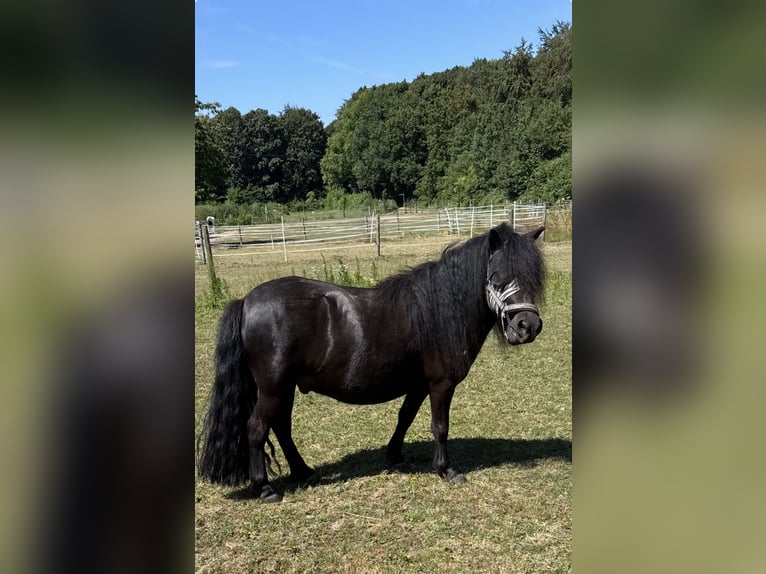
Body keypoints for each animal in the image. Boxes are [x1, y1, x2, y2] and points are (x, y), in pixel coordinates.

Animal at [198, 223, 546, 502]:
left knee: (281, 426)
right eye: (498, 277)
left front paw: (394, 455)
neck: (439, 309)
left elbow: (405, 417)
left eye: (533, 277)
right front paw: (446, 470)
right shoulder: (441, 383)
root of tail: (246, 301)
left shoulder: (418, 384)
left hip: (285, 387)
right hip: (273, 388)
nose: (527, 327)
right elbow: (440, 426)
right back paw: (266, 488)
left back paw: (303, 470)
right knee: (257, 428)